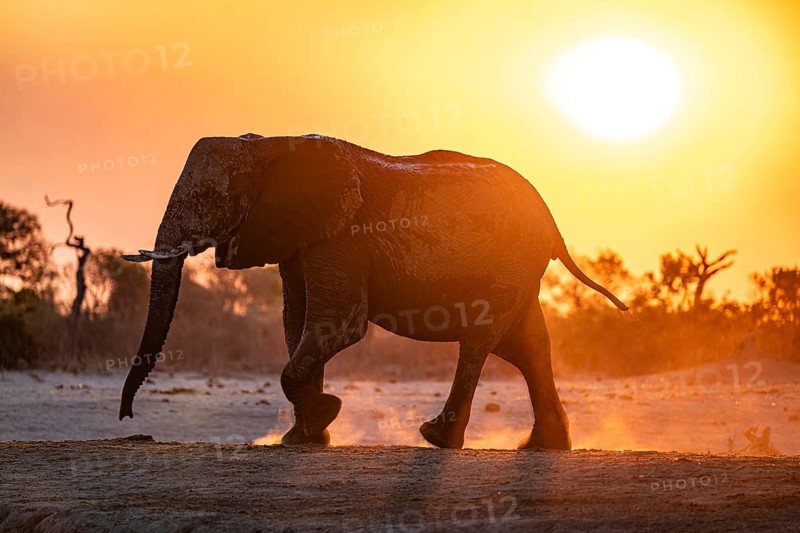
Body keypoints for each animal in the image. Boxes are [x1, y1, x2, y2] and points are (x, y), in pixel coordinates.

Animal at [119, 133, 627, 450]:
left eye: (209, 197)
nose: (126, 418)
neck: (267, 146)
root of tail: (551, 220)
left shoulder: (341, 235)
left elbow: (339, 325)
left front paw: (326, 413)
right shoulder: (301, 237)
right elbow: (296, 322)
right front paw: (304, 438)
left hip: (509, 261)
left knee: (482, 339)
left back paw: (437, 438)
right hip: (519, 268)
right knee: (527, 345)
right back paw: (543, 447)